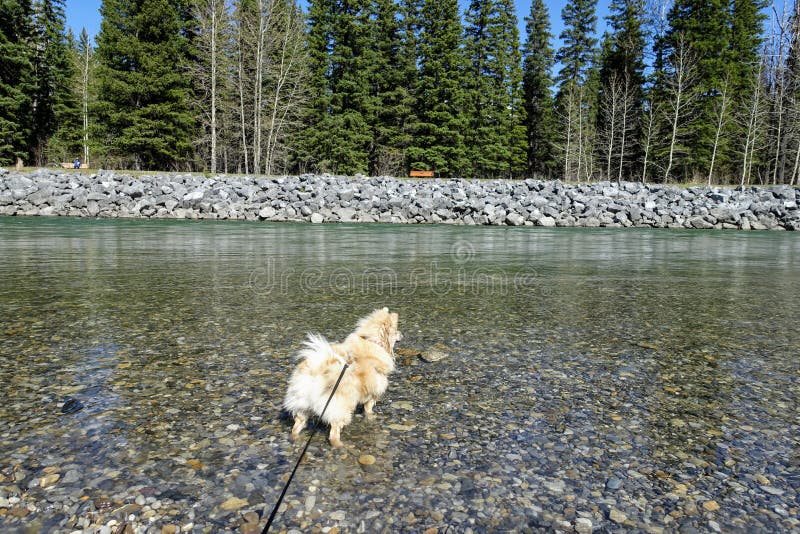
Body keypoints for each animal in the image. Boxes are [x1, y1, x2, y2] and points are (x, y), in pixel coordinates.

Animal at [284, 308, 404, 450]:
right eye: (396, 330)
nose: (402, 335)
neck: (371, 341)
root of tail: (314, 372)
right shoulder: (374, 393)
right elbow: (368, 409)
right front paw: (371, 416)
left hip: (302, 407)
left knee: (296, 426)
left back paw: (295, 437)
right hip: (340, 409)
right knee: (334, 433)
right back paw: (340, 445)